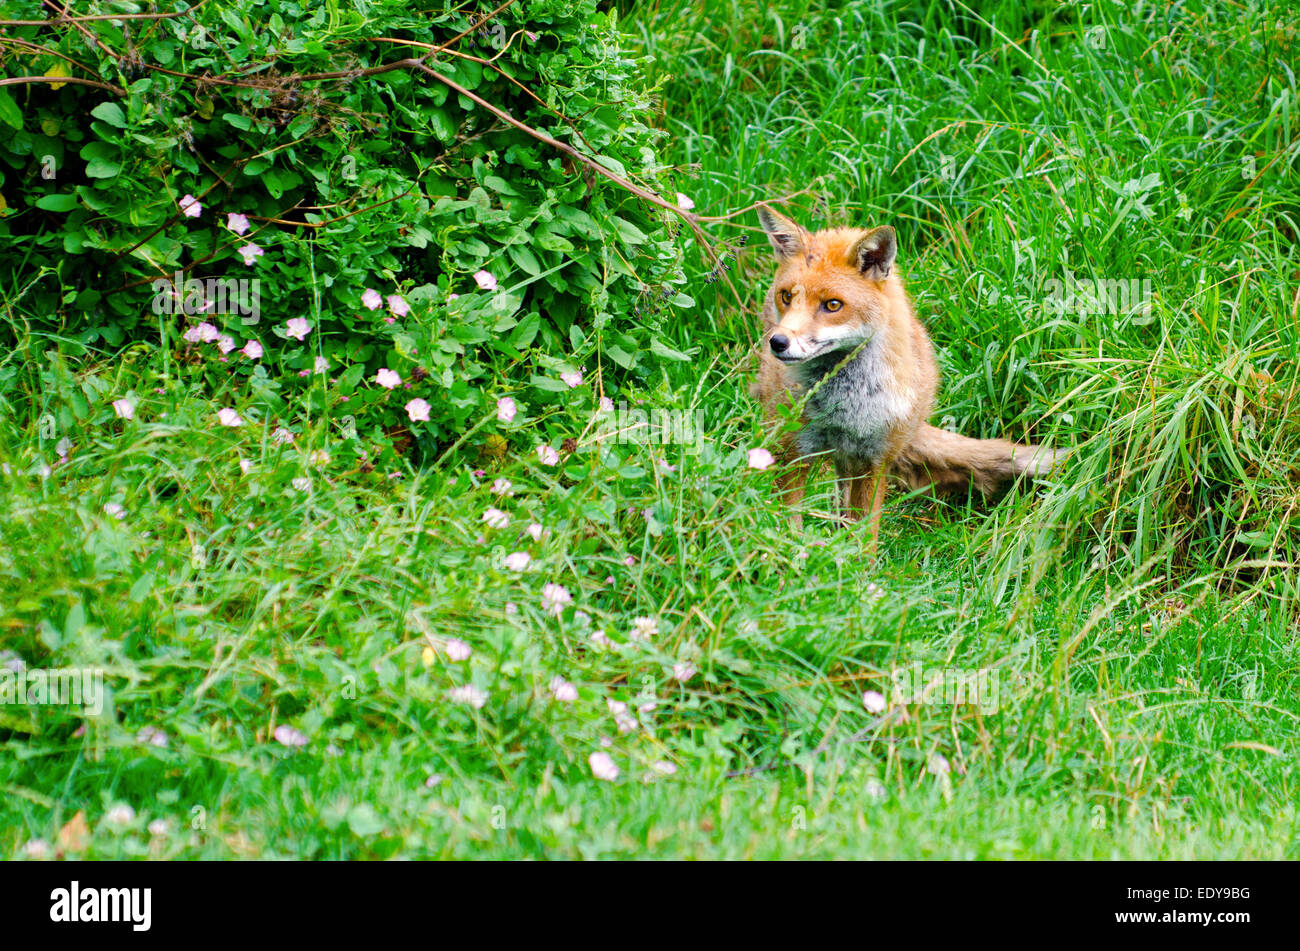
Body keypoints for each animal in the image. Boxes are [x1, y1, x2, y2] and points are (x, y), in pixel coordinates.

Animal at [748, 203, 1060, 553]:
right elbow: (788, 526)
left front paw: (855, 568)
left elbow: (865, 539)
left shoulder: (873, 461)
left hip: (858, 459)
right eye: (787, 297)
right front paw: (789, 557)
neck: (841, 406)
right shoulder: (793, 451)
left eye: (832, 305)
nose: (778, 342)